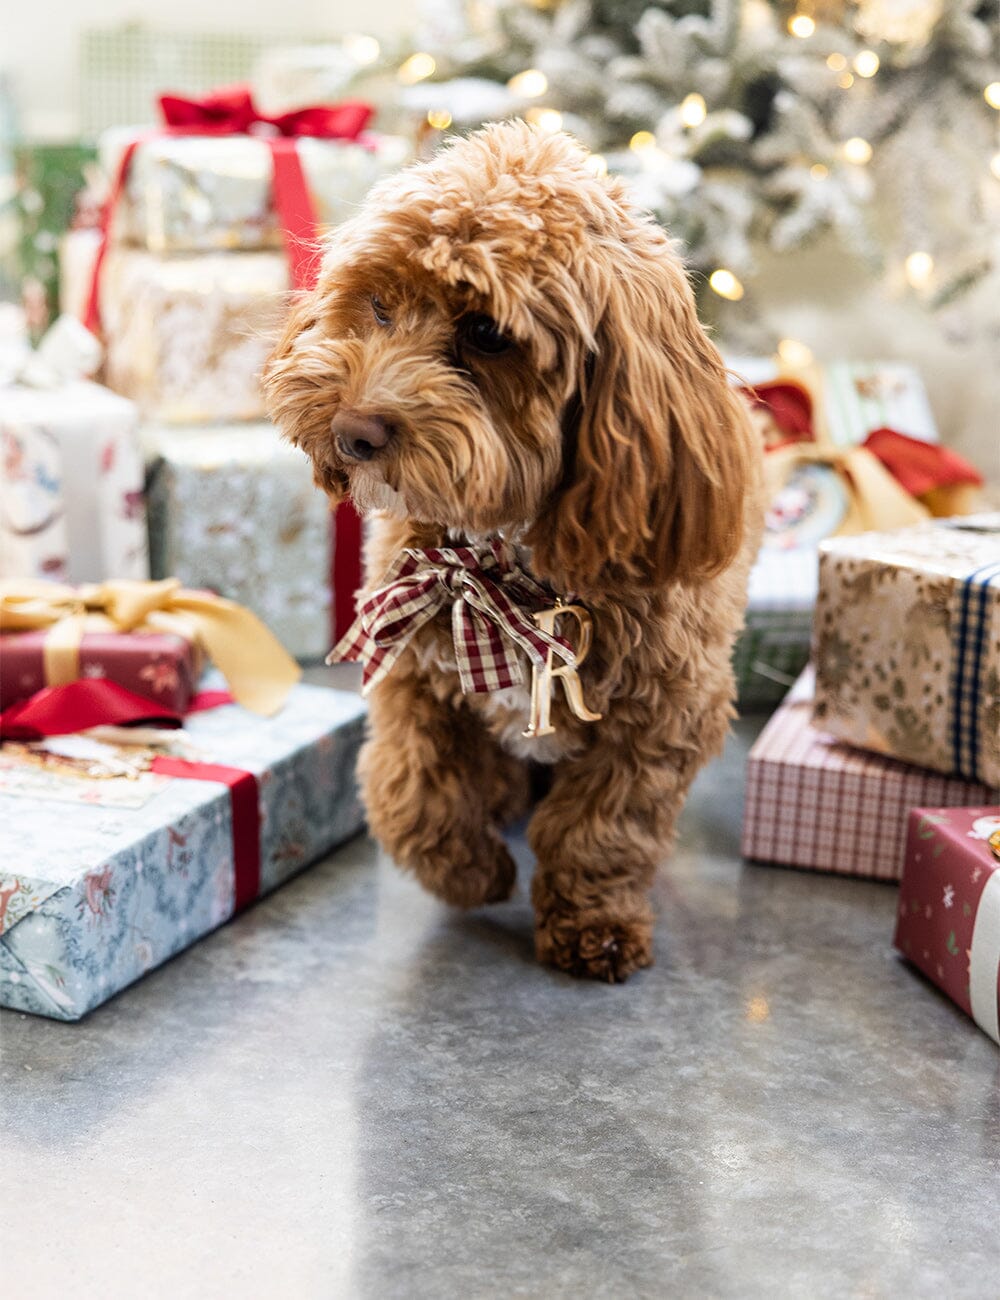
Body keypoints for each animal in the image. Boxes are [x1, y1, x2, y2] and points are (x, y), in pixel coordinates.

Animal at [261, 122, 759, 977]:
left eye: (488, 335)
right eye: (380, 305)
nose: (353, 430)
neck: (495, 566)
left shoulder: (665, 715)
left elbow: (603, 829)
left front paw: (594, 925)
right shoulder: (412, 675)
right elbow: (411, 792)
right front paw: (469, 871)